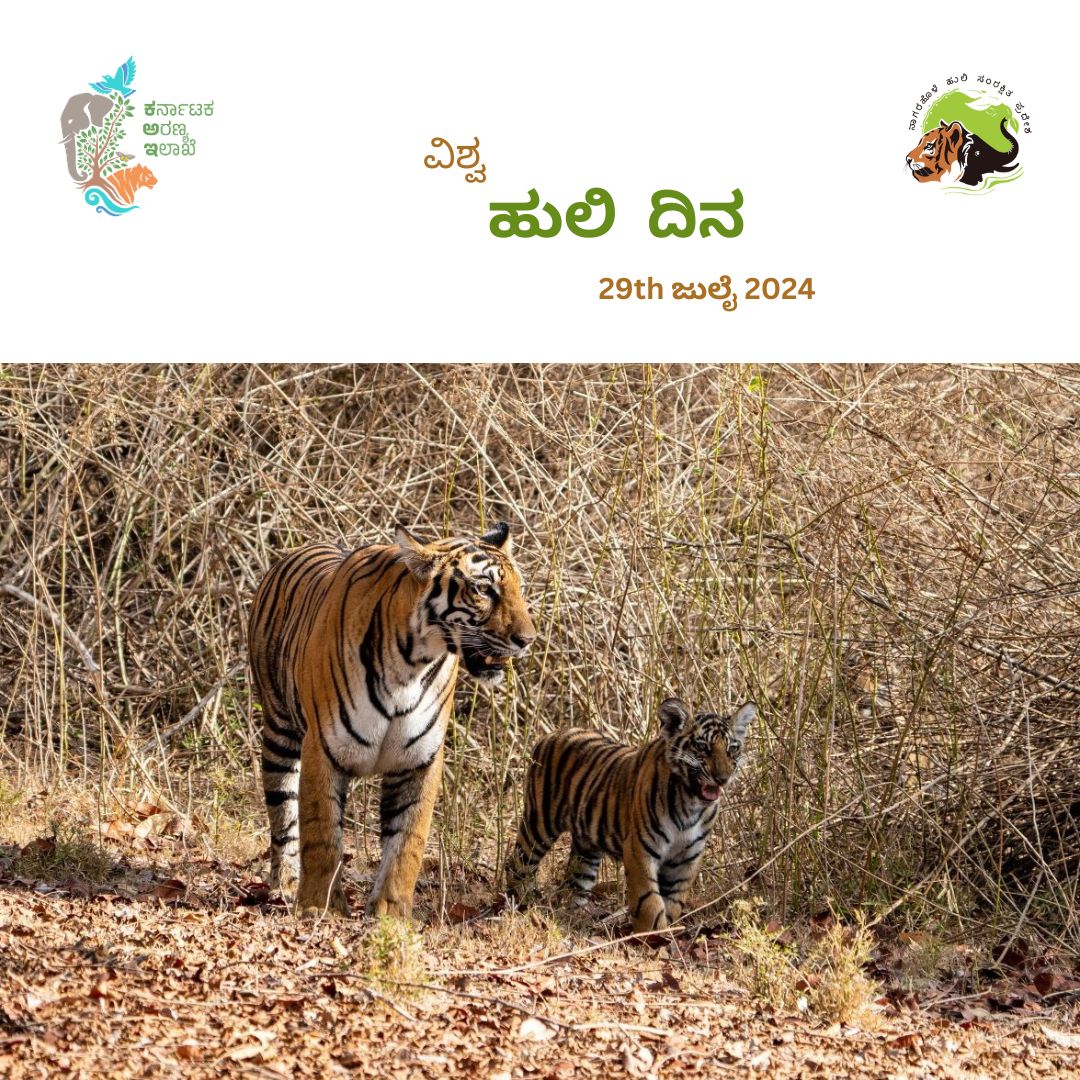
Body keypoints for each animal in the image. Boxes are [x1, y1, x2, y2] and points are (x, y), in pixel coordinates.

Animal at [248, 522, 536, 919]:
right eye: (483, 589)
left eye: (519, 588)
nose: (528, 640)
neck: (411, 665)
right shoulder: (323, 748)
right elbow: (322, 834)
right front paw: (319, 907)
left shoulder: (420, 759)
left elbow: (407, 843)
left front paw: (391, 914)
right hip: (280, 731)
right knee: (283, 816)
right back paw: (286, 882)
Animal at [505, 697, 754, 932]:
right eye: (703, 747)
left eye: (732, 748)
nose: (722, 778)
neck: (691, 803)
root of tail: (554, 732)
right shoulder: (640, 848)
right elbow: (649, 901)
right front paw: (653, 936)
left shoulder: (688, 856)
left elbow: (674, 900)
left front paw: (669, 932)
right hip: (539, 823)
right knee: (519, 864)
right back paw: (518, 903)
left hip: (586, 846)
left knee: (575, 880)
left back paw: (573, 917)